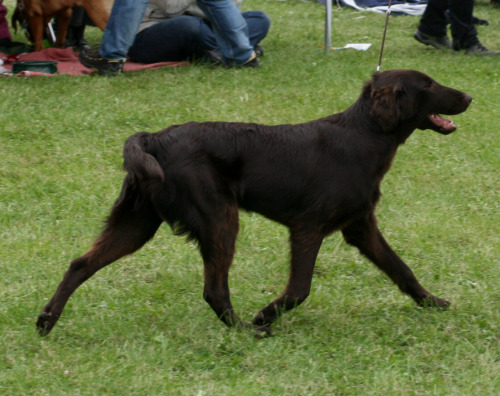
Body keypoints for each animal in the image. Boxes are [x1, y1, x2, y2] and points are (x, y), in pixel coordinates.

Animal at [37, 70, 470, 338]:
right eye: (428, 84)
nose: (468, 95)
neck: (365, 134)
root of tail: (154, 138)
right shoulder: (308, 227)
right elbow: (299, 289)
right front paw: (266, 313)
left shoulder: (361, 226)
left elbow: (402, 270)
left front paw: (433, 303)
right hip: (219, 217)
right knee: (214, 289)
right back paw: (248, 330)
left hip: (137, 223)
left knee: (80, 264)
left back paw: (46, 320)